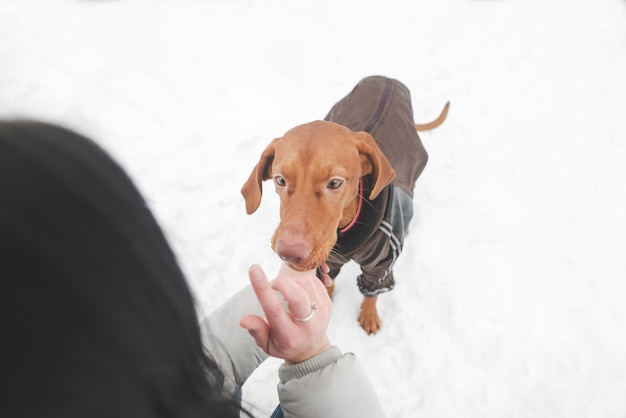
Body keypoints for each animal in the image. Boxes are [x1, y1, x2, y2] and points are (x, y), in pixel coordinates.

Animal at [241, 76, 446, 334]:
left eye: (335, 183)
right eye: (280, 180)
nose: (288, 253)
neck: (347, 226)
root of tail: (388, 79)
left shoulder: (380, 265)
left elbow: (371, 292)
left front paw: (369, 314)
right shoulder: (327, 259)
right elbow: (327, 282)